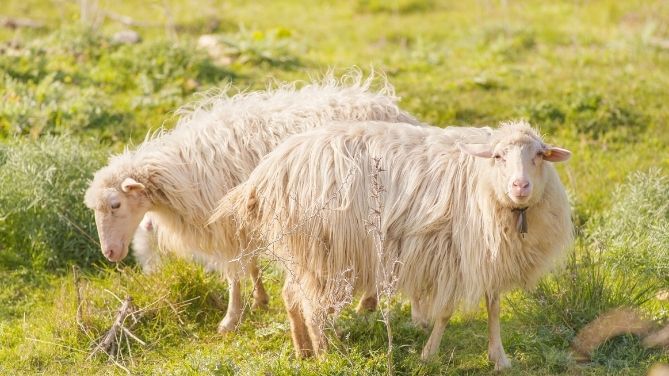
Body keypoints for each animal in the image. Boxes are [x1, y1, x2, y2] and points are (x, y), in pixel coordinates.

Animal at [81, 72, 420, 334]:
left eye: (115, 205)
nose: (110, 254)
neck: (180, 170)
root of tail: (395, 110)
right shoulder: (242, 220)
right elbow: (251, 262)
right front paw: (259, 300)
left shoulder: (226, 222)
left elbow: (234, 274)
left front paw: (230, 319)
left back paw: (367, 303)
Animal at [214, 119, 576, 368]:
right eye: (499, 156)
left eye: (540, 155)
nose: (520, 186)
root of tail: (270, 169)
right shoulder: (455, 256)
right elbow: (446, 311)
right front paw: (429, 354)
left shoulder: (490, 256)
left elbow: (494, 307)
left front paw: (498, 357)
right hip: (324, 249)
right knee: (310, 304)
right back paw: (326, 354)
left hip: (307, 250)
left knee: (291, 295)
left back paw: (303, 351)